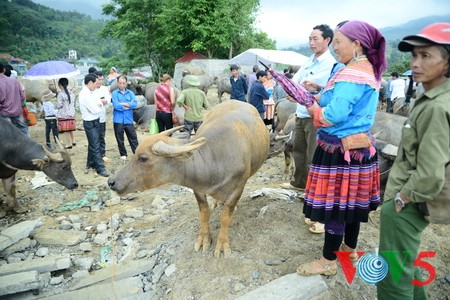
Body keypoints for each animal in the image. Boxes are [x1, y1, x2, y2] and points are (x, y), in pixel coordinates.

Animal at [108, 101, 270, 258]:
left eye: (143, 158)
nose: (111, 181)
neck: (215, 159)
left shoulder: (238, 189)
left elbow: (225, 217)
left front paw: (222, 244)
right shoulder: (197, 188)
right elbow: (204, 213)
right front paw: (203, 239)